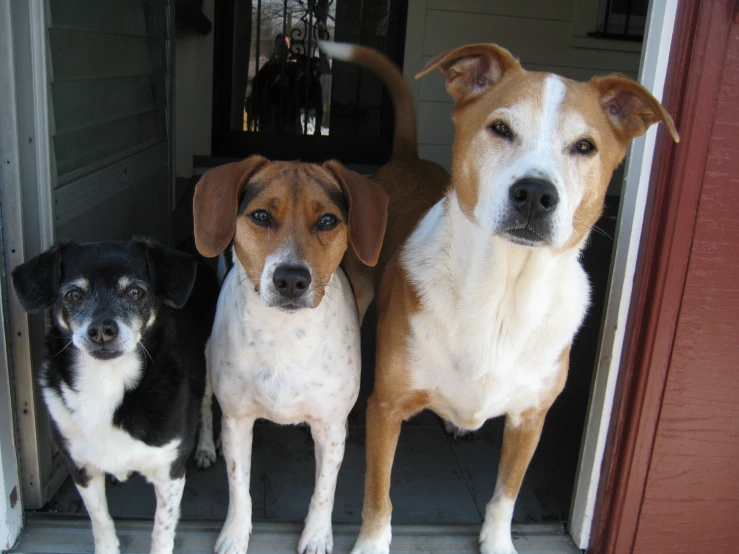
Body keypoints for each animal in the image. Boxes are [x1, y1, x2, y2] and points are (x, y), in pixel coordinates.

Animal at [12, 238, 220, 552]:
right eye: (73, 295)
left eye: (135, 292)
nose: (101, 330)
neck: (106, 382)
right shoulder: (80, 468)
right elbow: (100, 520)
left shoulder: (170, 472)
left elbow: (161, 529)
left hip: (206, 363)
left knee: (205, 408)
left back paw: (206, 448)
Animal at [192, 156, 388, 552]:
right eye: (261, 216)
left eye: (327, 220)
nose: (292, 280)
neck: (284, 334)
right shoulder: (238, 421)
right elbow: (238, 487)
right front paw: (235, 534)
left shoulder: (330, 427)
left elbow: (324, 489)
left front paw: (316, 535)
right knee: (205, 406)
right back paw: (206, 446)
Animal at [320, 40, 680, 552]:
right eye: (501, 129)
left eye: (585, 146)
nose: (535, 193)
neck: (502, 294)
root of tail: (410, 160)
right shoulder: (387, 411)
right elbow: (378, 494)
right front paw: (371, 543)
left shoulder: (531, 419)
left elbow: (506, 494)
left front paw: (496, 541)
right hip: (362, 287)